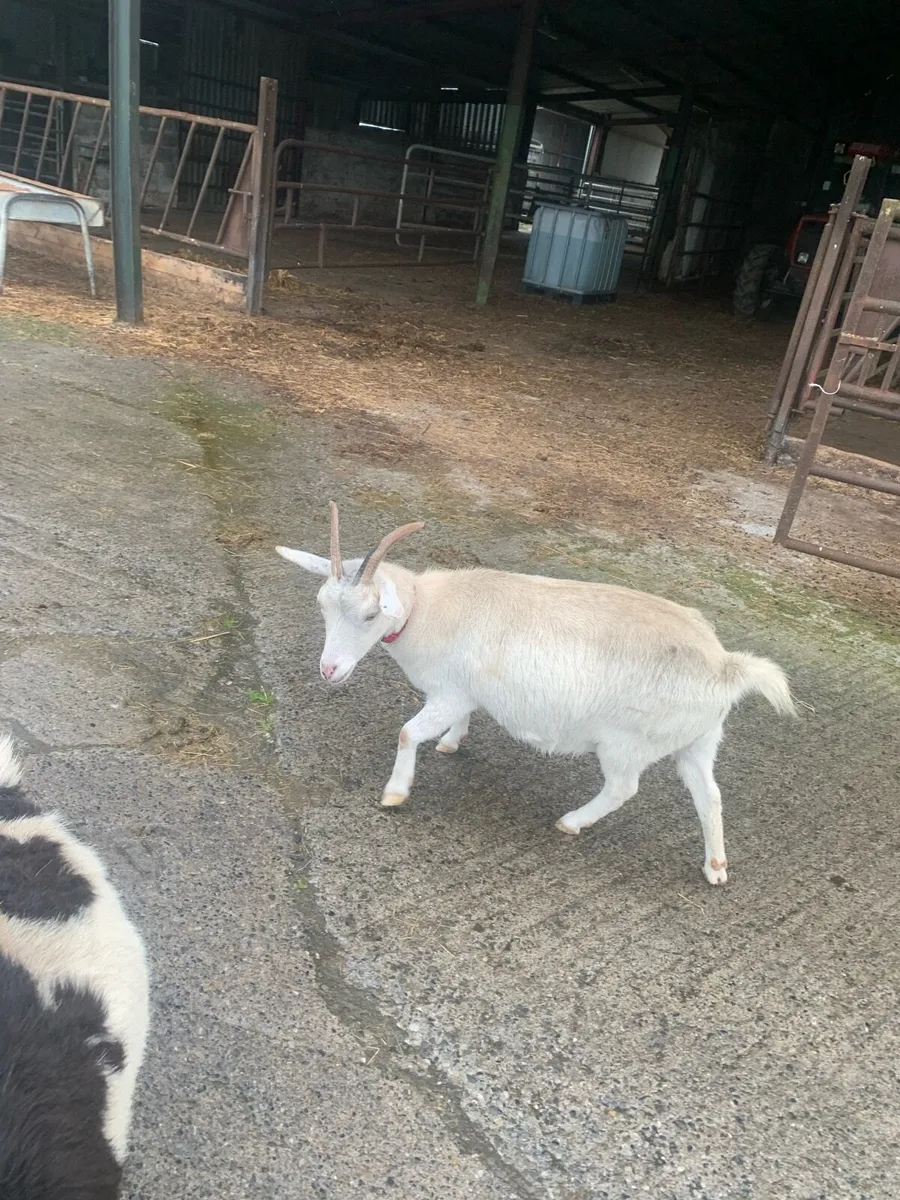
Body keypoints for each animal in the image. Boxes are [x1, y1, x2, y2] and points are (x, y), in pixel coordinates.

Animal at [277, 504, 796, 885]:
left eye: (370, 615)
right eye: (322, 606)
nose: (329, 670)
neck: (425, 609)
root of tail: (725, 666)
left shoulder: (450, 691)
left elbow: (407, 734)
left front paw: (395, 792)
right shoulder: (466, 693)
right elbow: (456, 723)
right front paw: (451, 742)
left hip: (628, 742)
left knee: (623, 787)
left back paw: (573, 821)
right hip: (699, 739)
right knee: (709, 796)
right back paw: (716, 868)